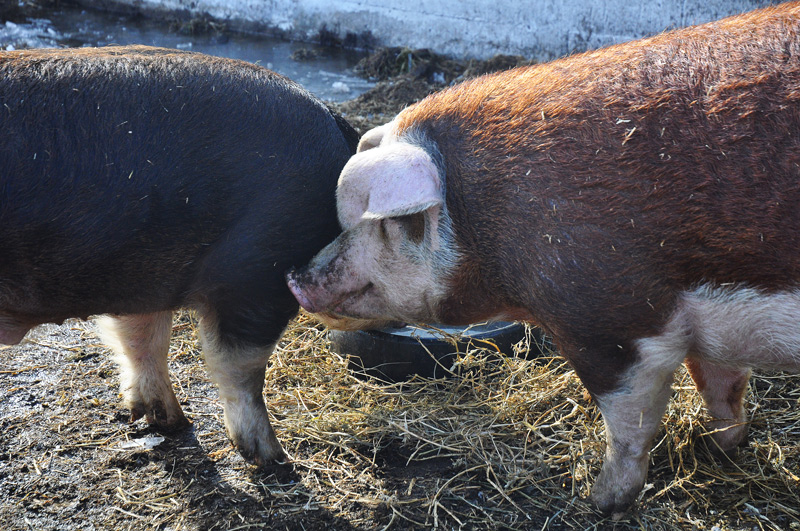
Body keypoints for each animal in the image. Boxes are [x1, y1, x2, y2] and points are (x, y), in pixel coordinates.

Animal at [0, 45, 358, 466]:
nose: (281, 461)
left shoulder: (140, 274)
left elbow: (143, 341)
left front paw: (168, 422)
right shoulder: (257, 275)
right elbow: (242, 368)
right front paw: (273, 458)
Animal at [287, 3, 800, 516]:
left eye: (384, 221)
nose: (295, 276)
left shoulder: (611, 319)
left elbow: (629, 423)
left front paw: (601, 501)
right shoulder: (708, 330)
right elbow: (721, 386)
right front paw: (717, 448)